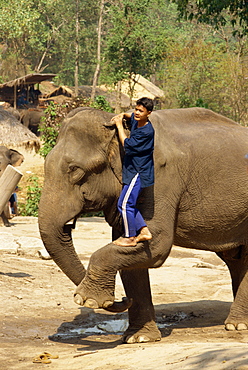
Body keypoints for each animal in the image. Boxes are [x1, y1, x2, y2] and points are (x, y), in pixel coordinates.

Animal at [38, 106, 248, 344]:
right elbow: (128, 252)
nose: (121, 299)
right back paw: (238, 323)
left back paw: (236, 325)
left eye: (75, 170)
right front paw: (139, 338)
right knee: (235, 257)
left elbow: (156, 245)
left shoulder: (158, 179)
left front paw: (88, 300)